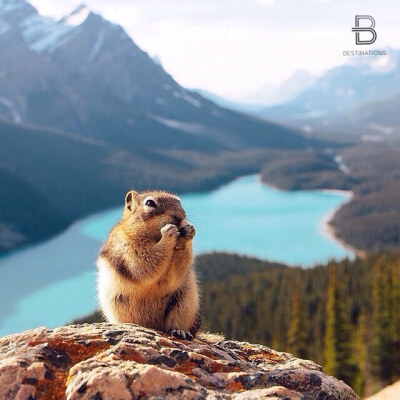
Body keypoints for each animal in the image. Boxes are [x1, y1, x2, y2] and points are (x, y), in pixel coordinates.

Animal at [97, 189, 200, 340]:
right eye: (150, 203)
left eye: (179, 201)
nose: (180, 216)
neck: (154, 238)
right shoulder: (127, 247)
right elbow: (143, 264)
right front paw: (168, 233)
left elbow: (175, 274)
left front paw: (188, 230)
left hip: (183, 303)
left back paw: (180, 332)